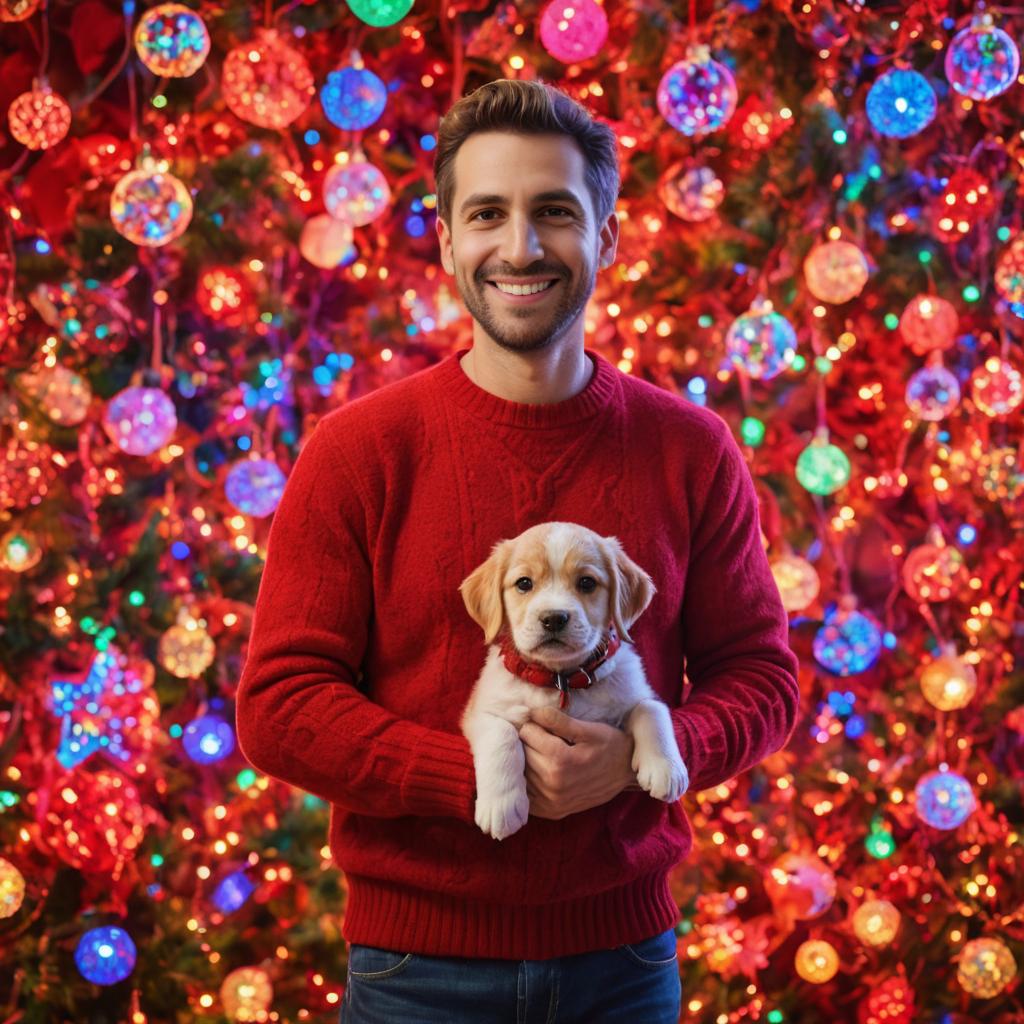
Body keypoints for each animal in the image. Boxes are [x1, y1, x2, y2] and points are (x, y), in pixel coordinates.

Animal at [458, 520, 688, 839]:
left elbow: (651, 708)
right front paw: (502, 806)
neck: (560, 679)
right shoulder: (479, 712)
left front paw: (667, 766)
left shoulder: (632, 690)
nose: (554, 618)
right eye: (524, 583)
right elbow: (500, 735)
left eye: (587, 583)